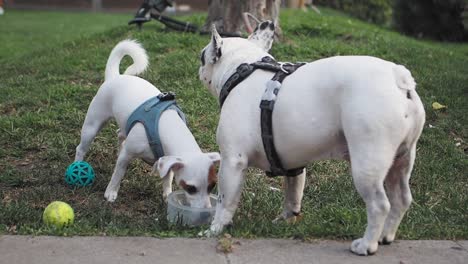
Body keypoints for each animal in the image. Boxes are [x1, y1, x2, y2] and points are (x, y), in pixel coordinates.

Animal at [75, 39, 221, 208]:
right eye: (191, 188)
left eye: (212, 186)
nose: (207, 210)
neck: (168, 127)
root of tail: (115, 76)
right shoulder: (128, 154)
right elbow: (118, 174)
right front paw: (111, 192)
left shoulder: (167, 161)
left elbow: (167, 178)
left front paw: (167, 195)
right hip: (92, 126)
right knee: (81, 148)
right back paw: (76, 165)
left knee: (120, 134)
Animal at [199, 22, 426, 256]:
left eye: (201, 57)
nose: (200, 68)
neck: (243, 68)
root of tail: (398, 77)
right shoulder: (294, 166)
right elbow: (293, 195)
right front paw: (284, 220)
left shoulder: (232, 162)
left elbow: (225, 201)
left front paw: (215, 229)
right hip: (402, 158)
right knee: (401, 198)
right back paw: (385, 237)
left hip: (368, 162)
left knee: (379, 204)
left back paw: (366, 245)